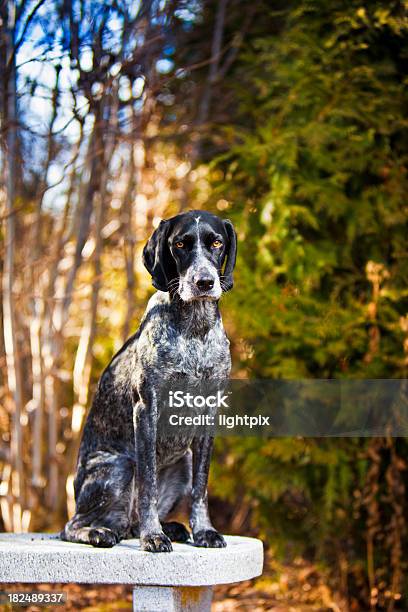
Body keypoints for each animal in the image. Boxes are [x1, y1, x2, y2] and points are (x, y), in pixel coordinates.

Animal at [62, 209, 237, 548]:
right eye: (180, 244)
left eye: (217, 243)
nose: (204, 282)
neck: (194, 330)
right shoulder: (146, 408)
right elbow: (148, 485)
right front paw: (153, 535)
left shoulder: (209, 412)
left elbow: (201, 487)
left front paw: (203, 530)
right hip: (119, 466)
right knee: (72, 525)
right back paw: (99, 532)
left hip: (182, 462)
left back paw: (171, 528)